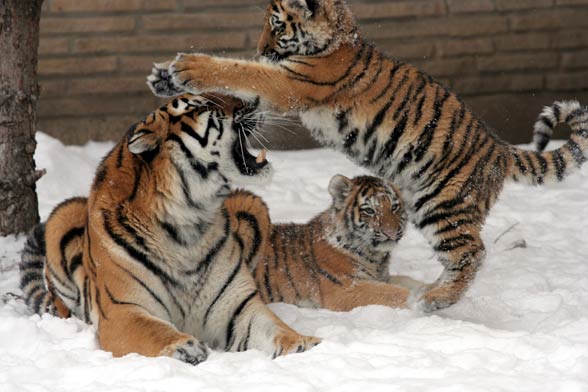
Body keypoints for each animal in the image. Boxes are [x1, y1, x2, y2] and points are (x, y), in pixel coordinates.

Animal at [19, 92, 316, 364]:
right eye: (203, 106)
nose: (254, 100)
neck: (188, 220)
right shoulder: (122, 311)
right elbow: (153, 331)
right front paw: (184, 347)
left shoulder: (238, 307)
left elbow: (274, 327)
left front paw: (302, 344)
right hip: (62, 215)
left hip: (253, 205)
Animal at [223, 176, 420, 310]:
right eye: (370, 211)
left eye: (394, 207)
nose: (391, 232)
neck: (375, 256)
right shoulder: (346, 288)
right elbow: (393, 293)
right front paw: (422, 301)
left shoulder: (380, 277)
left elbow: (408, 281)